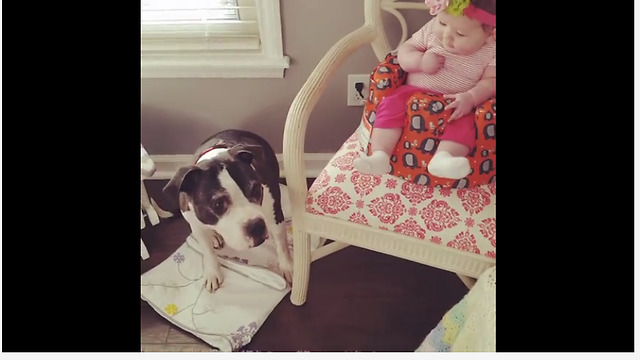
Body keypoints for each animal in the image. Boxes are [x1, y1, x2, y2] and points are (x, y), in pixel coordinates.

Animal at [165, 129, 296, 292]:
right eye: (218, 204)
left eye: (256, 189)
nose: (257, 226)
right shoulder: (196, 225)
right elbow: (207, 251)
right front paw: (212, 272)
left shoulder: (274, 214)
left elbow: (281, 242)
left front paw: (288, 267)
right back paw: (214, 236)